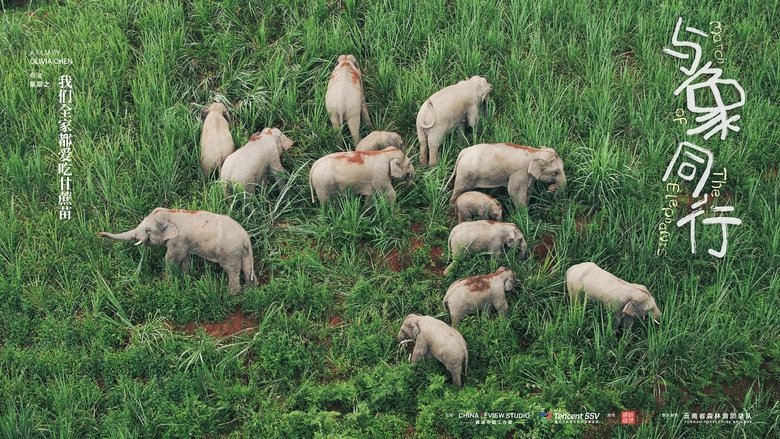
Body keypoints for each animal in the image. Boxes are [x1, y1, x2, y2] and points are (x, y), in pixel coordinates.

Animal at [98, 207, 258, 294]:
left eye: (148, 230)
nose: (99, 234)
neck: (170, 213)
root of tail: (246, 239)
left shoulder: (178, 240)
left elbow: (170, 259)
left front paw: (167, 284)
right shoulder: (184, 243)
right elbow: (184, 259)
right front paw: (186, 279)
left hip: (229, 252)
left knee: (232, 270)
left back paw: (231, 295)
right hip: (243, 252)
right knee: (247, 268)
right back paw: (250, 289)